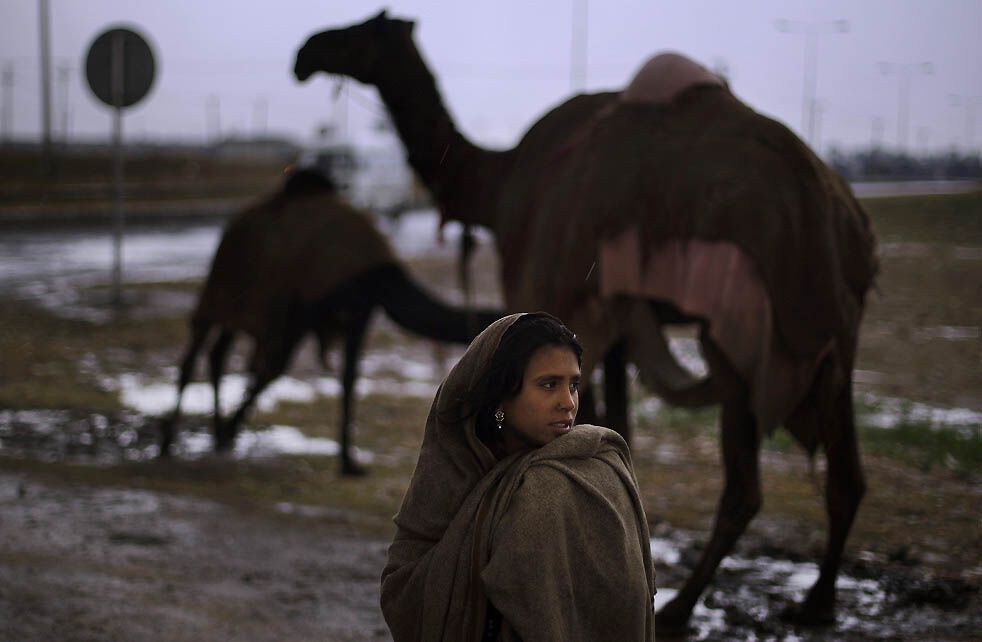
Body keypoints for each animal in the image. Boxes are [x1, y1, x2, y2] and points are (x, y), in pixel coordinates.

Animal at [160, 168, 504, 472]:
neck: (378, 277)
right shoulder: (302, 307)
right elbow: (274, 368)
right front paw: (231, 429)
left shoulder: (358, 312)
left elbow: (349, 379)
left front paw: (349, 462)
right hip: (220, 284)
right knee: (196, 351)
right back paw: (170, 443)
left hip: (240, 305)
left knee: (218, 352)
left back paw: (217, 437)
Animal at [294, 10, 884, 624]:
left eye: (362, 31)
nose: (306, 53)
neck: (497, 185)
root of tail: (846, 216)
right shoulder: (614, 326)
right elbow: (619, 434)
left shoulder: (566, 299)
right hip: (838, 332)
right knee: (846, 474)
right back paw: (815, 603)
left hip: (746, 327)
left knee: (747, 485)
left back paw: (686, 609)